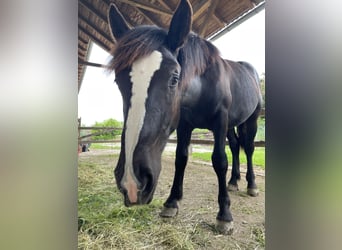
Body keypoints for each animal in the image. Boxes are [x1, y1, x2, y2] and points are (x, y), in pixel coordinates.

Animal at [107, 0, 262, 234]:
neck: (203, 85)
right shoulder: (185, 125)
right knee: (236, 146)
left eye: (174, 77)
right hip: (231, 125)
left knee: (249, 148)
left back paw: (251, 185)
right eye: (118, 81)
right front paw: (172, 202)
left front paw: (224, 215)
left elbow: (219, 161)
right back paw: (233, 181)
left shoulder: (220, 121)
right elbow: (181, 158)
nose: (132, 182)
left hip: (250, 120)